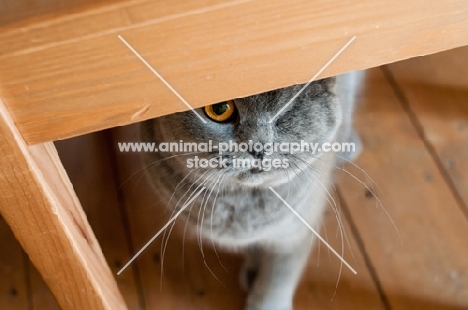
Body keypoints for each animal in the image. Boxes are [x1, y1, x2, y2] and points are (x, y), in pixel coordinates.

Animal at [141, 71, 364, 310]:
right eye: (219, 108)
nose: (258, 147)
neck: (241, 202)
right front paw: (254, 266)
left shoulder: (297, 230)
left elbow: (279, 276)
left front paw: (266, 299)